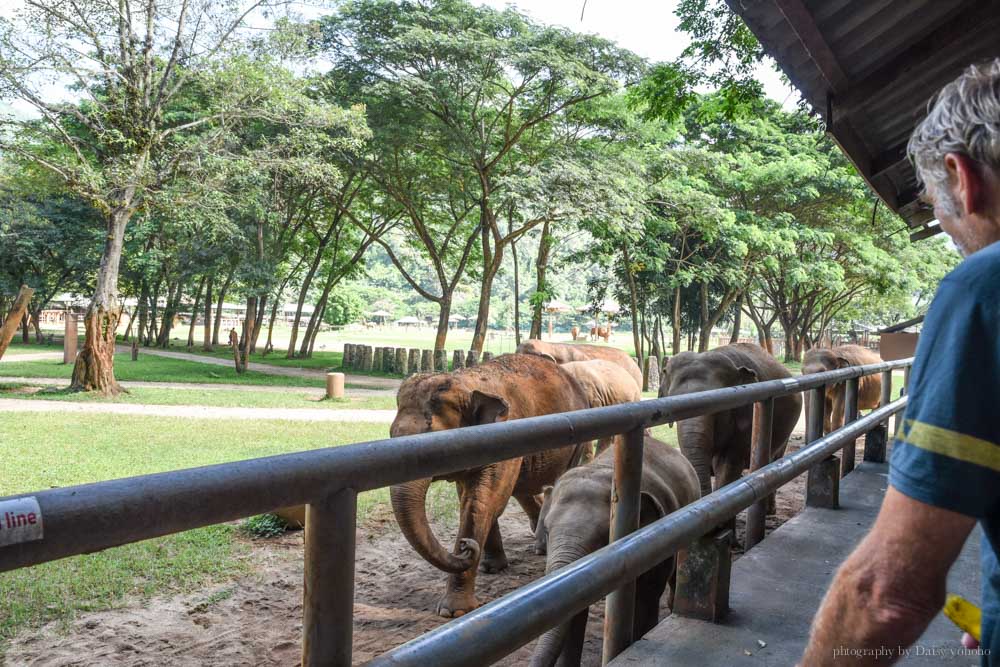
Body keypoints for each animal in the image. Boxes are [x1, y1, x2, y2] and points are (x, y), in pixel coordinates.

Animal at [390, 352, 592, 620]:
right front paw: (492, 568)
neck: (466, 381)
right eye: (391, 435)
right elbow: (472, 498)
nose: (465, 547)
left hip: (577, 443)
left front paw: (453, 612)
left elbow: (480, 502)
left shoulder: (506, 437)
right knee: (524, 488)